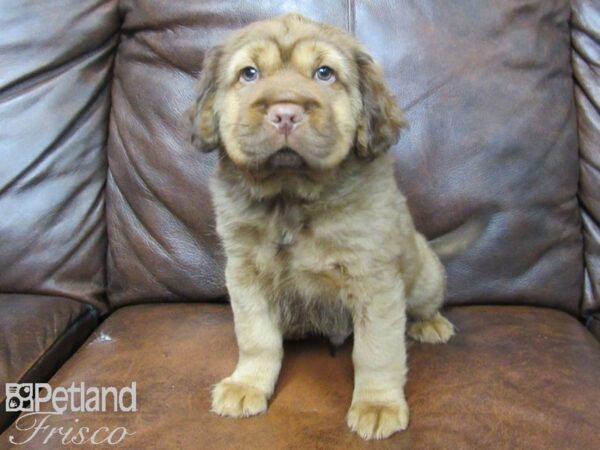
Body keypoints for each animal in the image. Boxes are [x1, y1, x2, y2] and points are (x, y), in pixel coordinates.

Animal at [188, 14, 454, 440]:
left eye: (324, 73)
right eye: (249, 73)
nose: (284, 112)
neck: (291, 201)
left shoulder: (373, 282)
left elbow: (376, 351)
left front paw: (377, 404)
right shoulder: (245, 275)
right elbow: (256, 339)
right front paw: (248, 384)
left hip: (426, 276)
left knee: (424, 305)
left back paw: (430, 324)